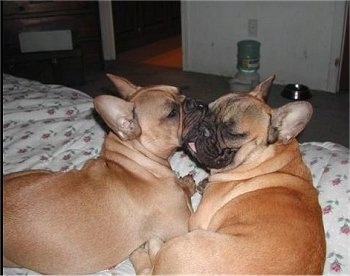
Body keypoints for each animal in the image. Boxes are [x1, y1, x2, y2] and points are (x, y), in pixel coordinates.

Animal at [3, 73, 208, 274]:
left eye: (180, 92)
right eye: (172, 113)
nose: (197, 102)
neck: (135, 164)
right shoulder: (185, 228)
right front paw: (187, 186)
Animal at [131, 75, 326, 274]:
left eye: (232, 133)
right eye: (208, 111)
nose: (203, 127)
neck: (267, 160)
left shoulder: (197, 220)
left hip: (181, 244)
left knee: (150, 265)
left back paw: (144, 247)